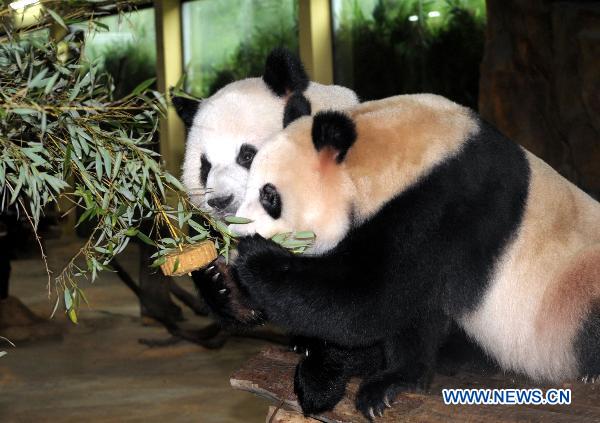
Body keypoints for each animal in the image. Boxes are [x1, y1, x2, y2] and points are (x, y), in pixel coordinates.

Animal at [216, 93, 600, 420]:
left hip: (570, 287)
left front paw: (252, 259)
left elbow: (369, 298)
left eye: (270, 196)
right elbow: (407, 313)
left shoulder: (439, 207)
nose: (235, 232)